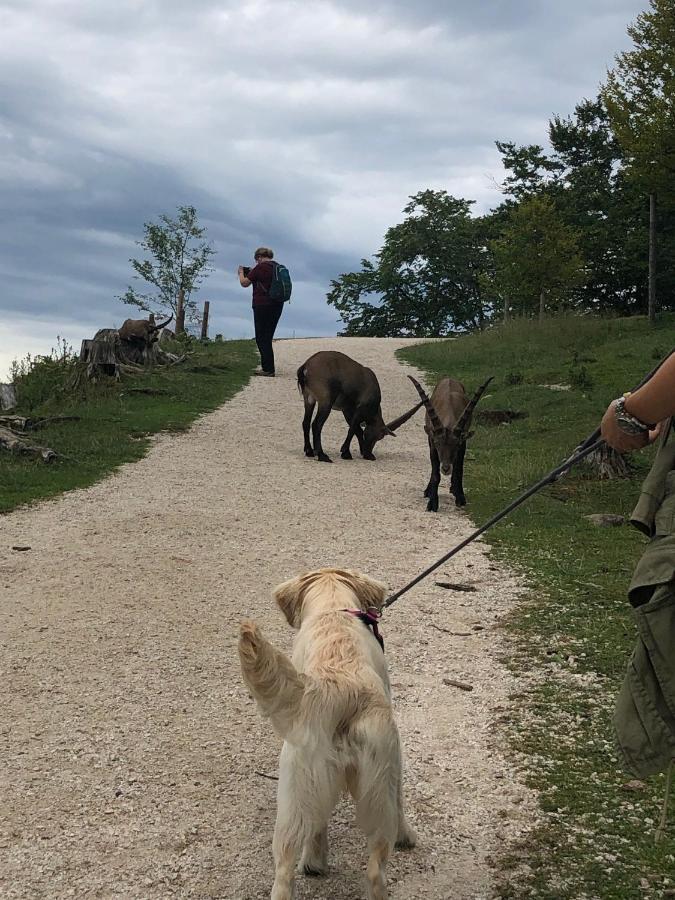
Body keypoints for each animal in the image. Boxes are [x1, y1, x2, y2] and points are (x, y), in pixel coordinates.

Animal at [238, 568, 418, 900]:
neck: (333, 609)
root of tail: (340, 690)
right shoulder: (396, 762)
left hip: (295, 795)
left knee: (285, 869)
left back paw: (311, 862)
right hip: (373, 789)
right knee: (374, 868)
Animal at [406, 372, 492, 510]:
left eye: (455, 445)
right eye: (438, 444)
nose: (446, 468)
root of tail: (449, 379)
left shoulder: (462, 444)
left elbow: (459, 470)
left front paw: (460, 498)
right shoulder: (432, 443)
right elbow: (435, 474)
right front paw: (432, 503)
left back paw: (454, 488)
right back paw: (429, 490)